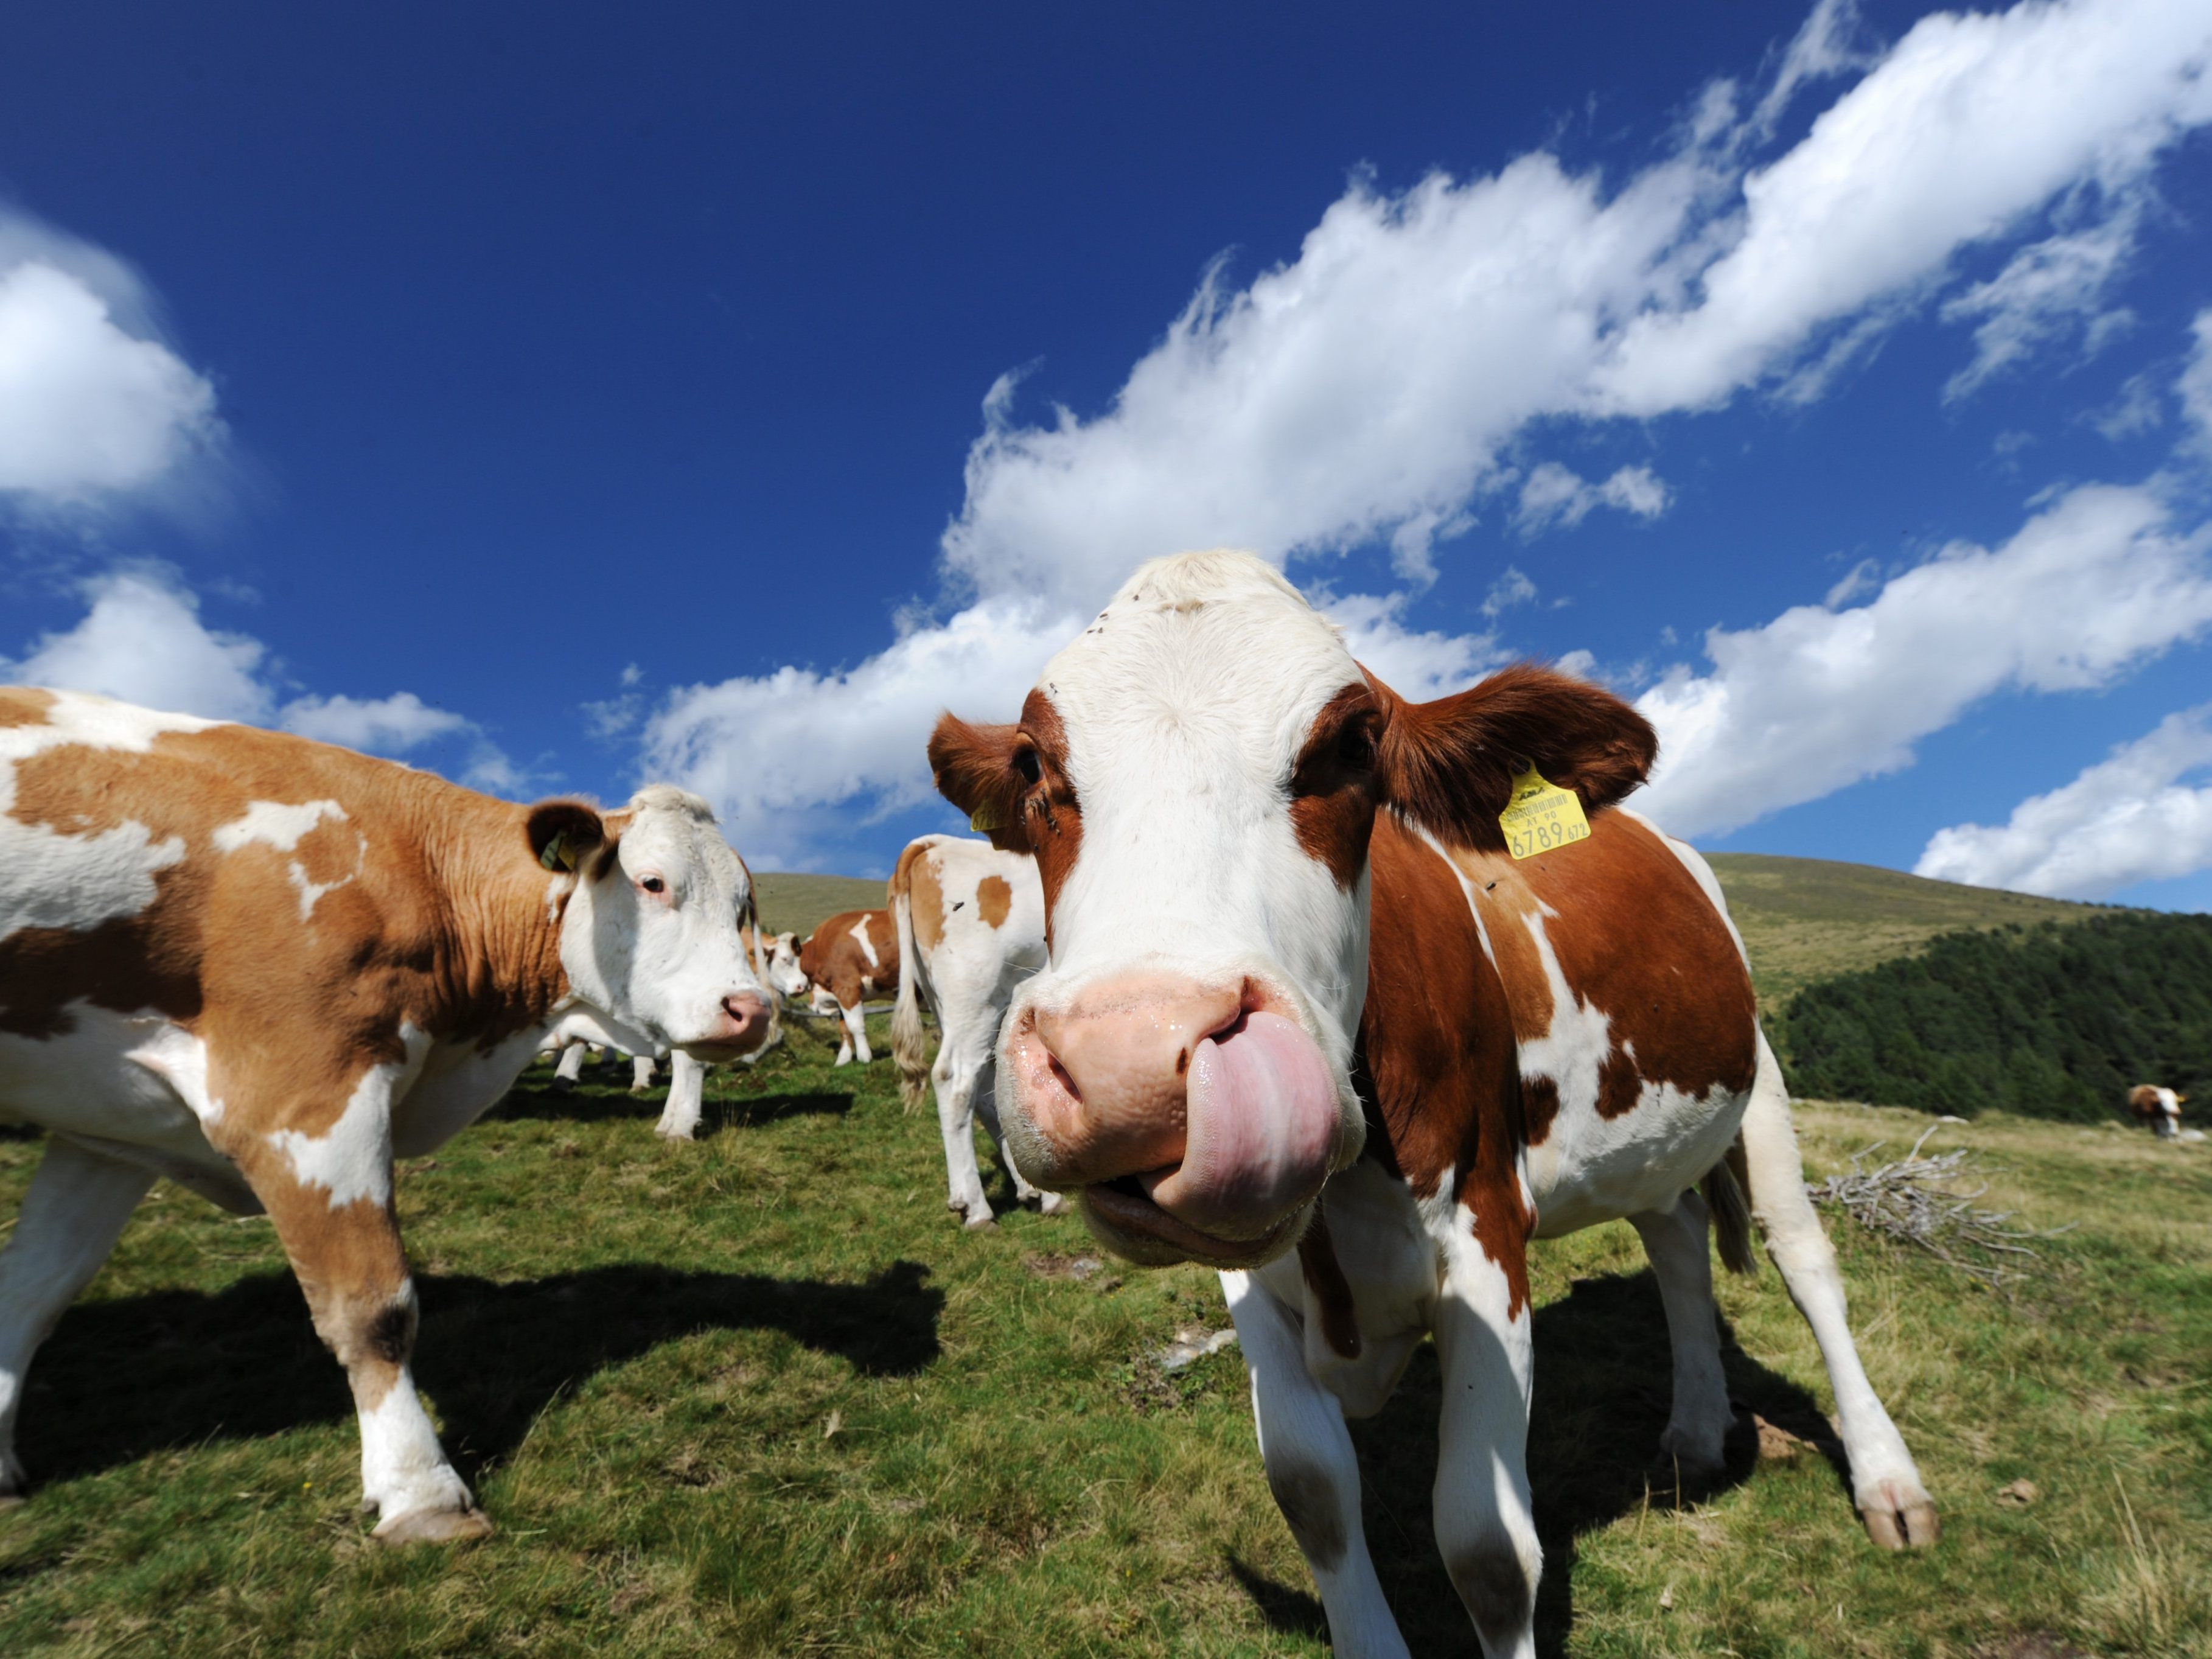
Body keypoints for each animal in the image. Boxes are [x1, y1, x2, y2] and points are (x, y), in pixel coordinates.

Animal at [0, 690, 778, 1548]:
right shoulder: (306, 1096)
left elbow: (32, 1288)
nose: (751, 1010)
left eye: (742, 904)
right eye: (652, 882)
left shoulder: (111, 1126)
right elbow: (372, 1306)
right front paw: (419, 1489)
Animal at [796, 911, 898, 1066]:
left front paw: (864, 1058)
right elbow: (844, 1027)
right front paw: (843, 1060)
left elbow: (855, 1025)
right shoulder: (839, 995)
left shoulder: (847, 987)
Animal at [929, 555, 1938, 1659]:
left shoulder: (1485, 1228)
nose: (1131, 1067)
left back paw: (1887, 1481)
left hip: (1757, 1082)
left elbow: (1488, 1550)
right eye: (1034, 766)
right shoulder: (1252, 1281)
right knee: (1673, 1239)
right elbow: (1312, 1492)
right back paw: (1693, 1433)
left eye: (1349, 746)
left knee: (1804, 1261)